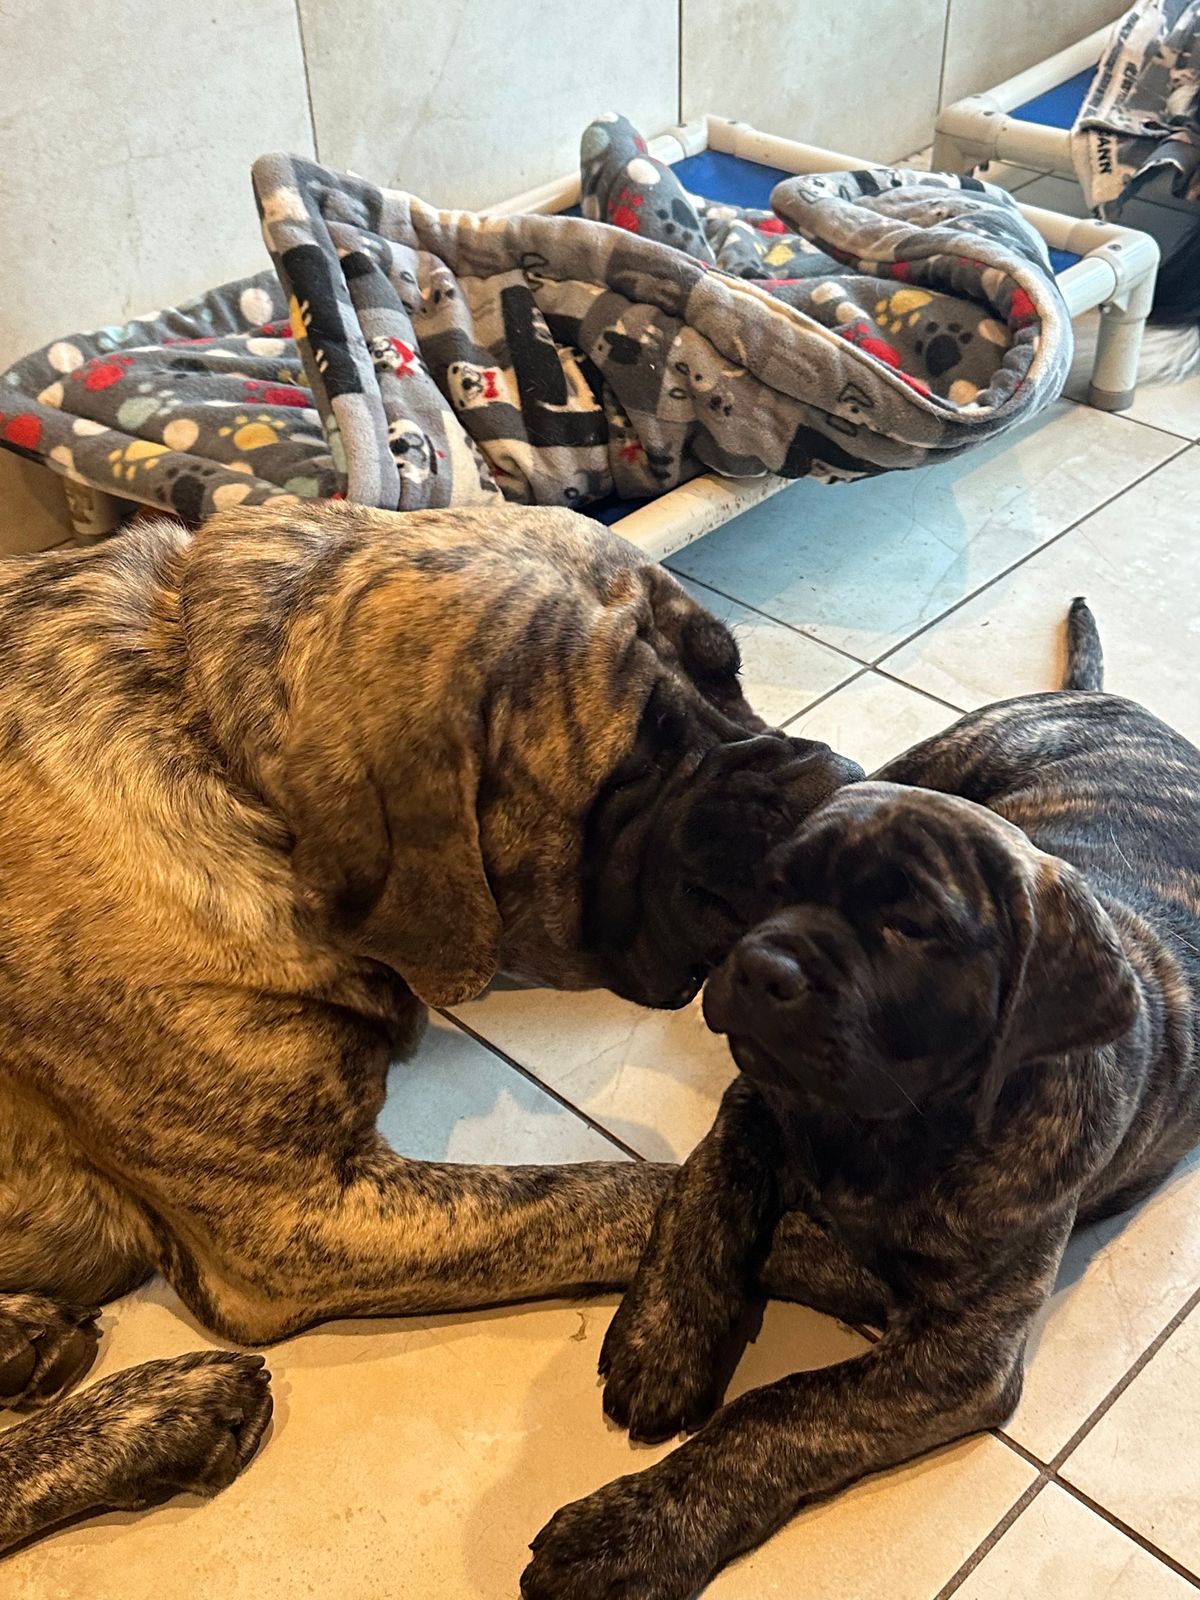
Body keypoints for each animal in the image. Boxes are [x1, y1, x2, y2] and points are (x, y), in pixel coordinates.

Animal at [0, 498, 858, 1553]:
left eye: (730, 670)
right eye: (636, 768)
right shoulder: (299, 1221)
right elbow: (609, 1189)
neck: (210, 734)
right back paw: (160, 1414)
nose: (842, 786)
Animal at [522, 601, 1200, 1600]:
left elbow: (783, 1409)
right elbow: (704, 1190)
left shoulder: (958, 1352)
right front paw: (665, 1332)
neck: (882, 1125)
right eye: (777, 885)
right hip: (928, 758)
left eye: (911, 926)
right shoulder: (753, 1098)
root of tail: (1108, 700)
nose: (757, 966)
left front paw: (629, 1534)